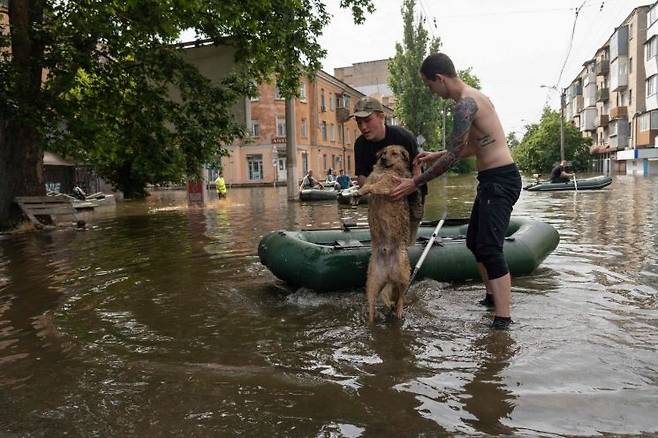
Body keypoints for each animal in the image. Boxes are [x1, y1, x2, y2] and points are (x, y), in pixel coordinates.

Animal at [356, 145, 408, 320]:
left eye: (395, 153)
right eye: (383, 152)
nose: (383, 159)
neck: (385, 170)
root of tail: (388, 274)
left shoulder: (390, 183)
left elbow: (376, 185)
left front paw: (362, 191)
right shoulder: (372, 177)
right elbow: (368, 183)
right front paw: (358, 191)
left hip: (403, 274)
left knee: (401, 296)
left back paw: (399, 311)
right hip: (372, 283)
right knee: (372, 304)